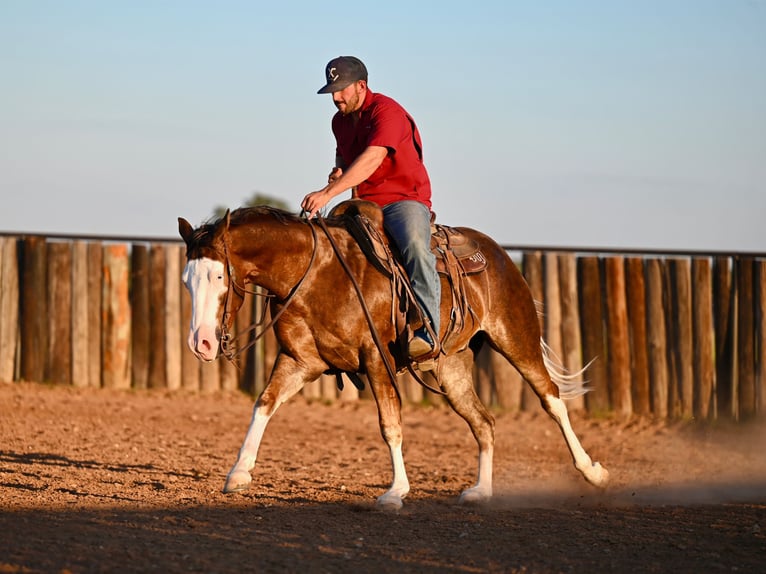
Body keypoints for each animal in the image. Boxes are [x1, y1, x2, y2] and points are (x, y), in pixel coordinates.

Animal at [177, 200, 608, 510]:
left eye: (219, 275)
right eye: (186, 281)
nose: (200, 344)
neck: (315, 273)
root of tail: (498, 255)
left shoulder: (376, 357)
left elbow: (390, 423)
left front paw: (396, 491)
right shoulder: (299, 361)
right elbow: (263, 404)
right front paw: (238, 473)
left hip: (517, 338)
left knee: (552, 400)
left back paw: (593, 472)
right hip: (451, 368)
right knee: (483, 422)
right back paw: (481, 491)